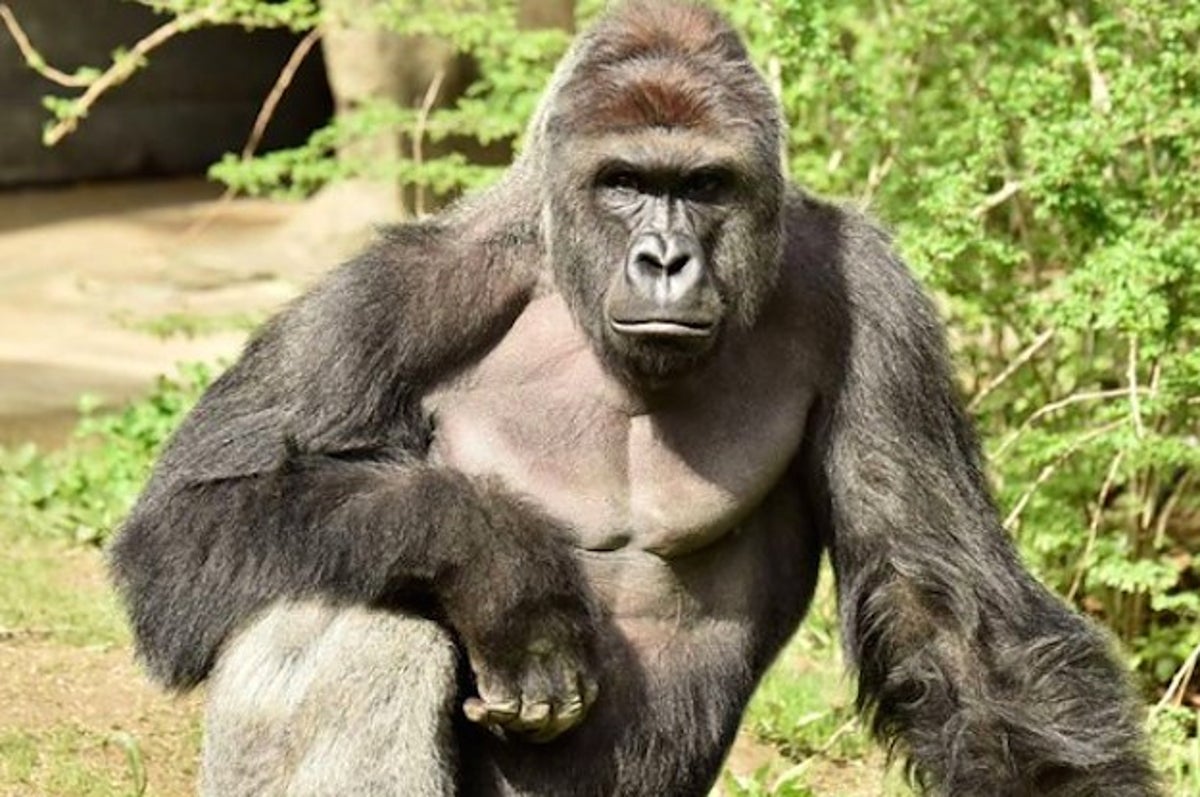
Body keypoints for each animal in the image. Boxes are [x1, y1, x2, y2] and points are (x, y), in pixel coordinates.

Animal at [109, 2, 1157, 795]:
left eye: (703, 184)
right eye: (624, 182)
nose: (664, 259)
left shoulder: (872, 299)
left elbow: (949, 616)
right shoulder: (396, 293)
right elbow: (182, 525)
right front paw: (503, 564)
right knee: (347, 609)